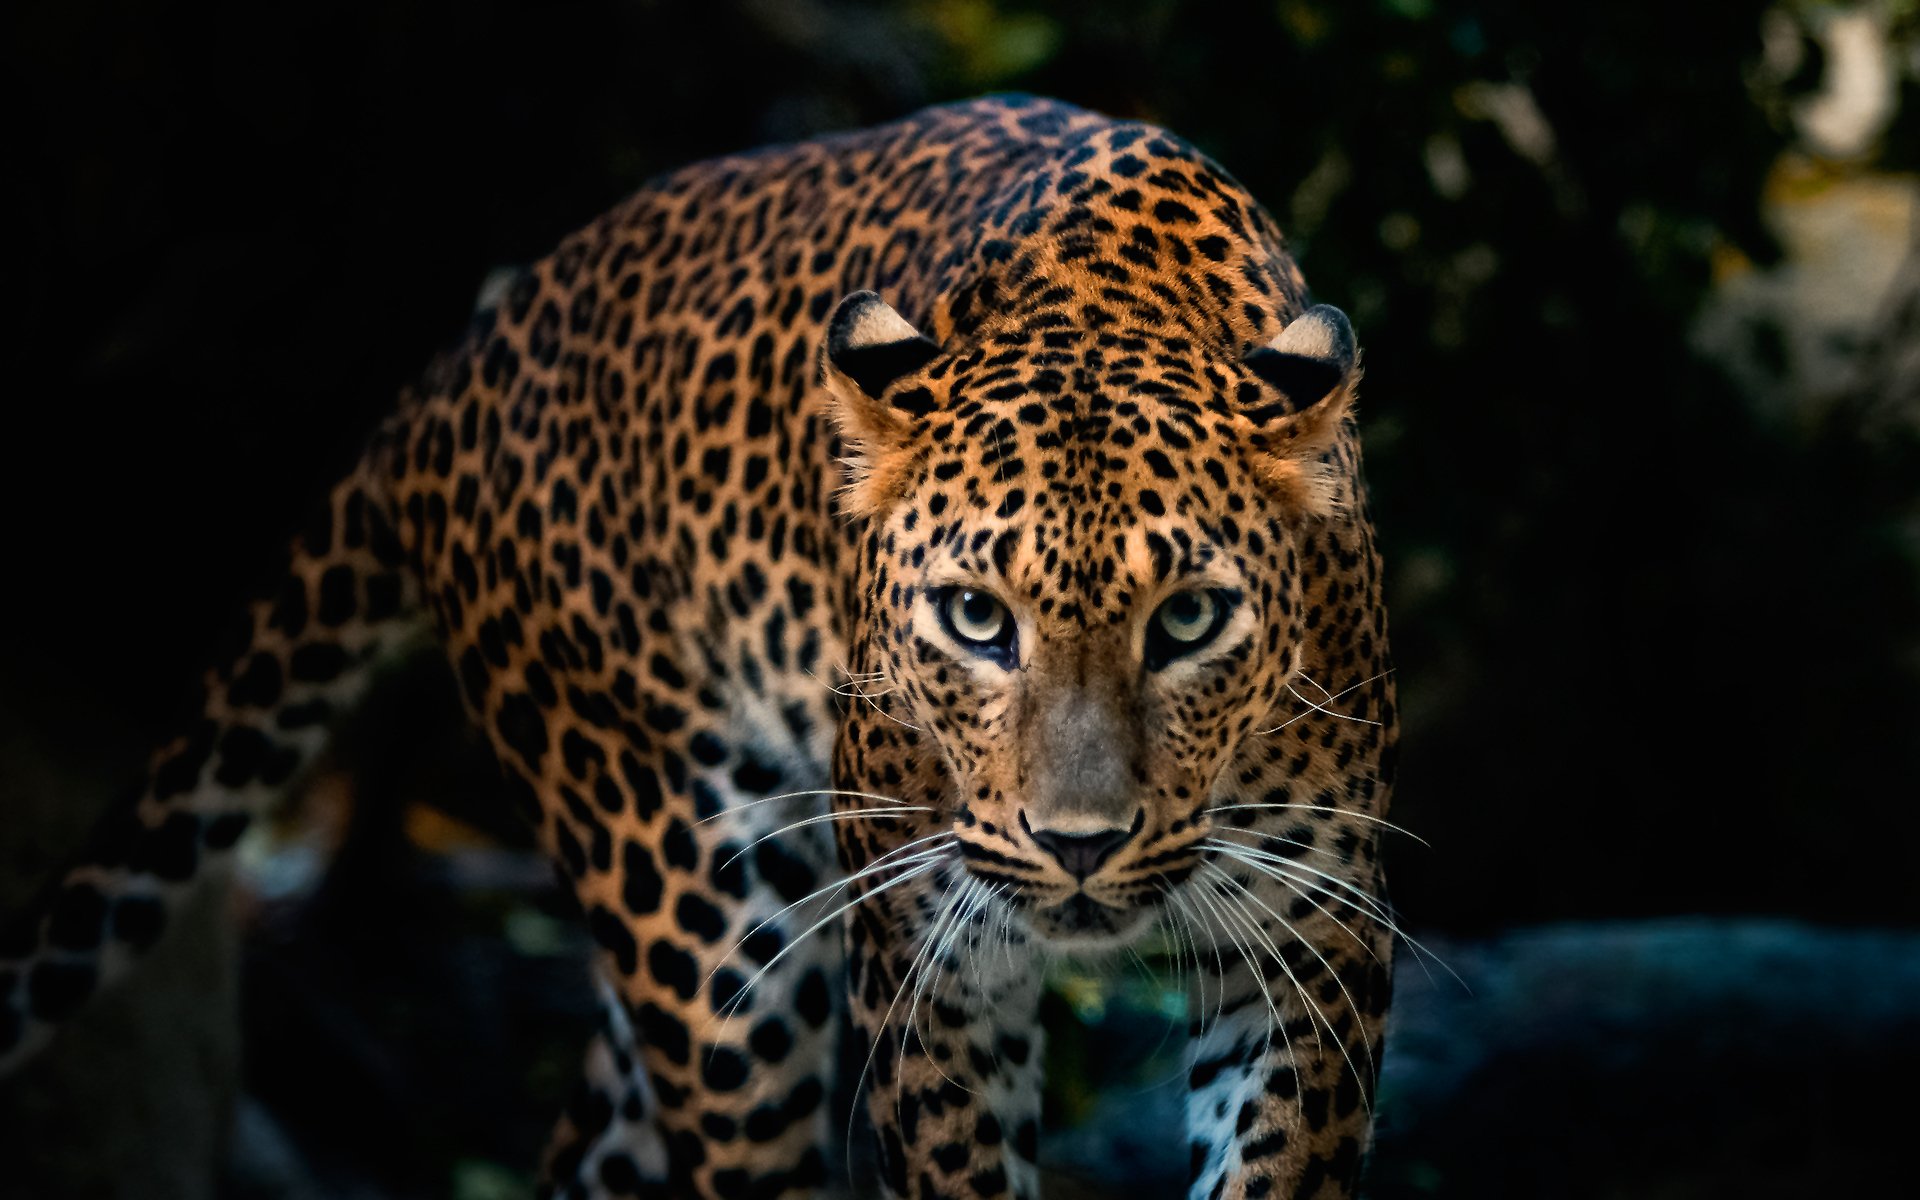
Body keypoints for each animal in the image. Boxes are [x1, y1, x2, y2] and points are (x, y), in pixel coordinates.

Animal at [0, 96, 1397, 1198]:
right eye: (977, 620)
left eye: (1189, 620)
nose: (1080, 846)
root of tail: (459, 363)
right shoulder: (927, 961)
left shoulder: (1312, 940)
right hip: (693, 905)